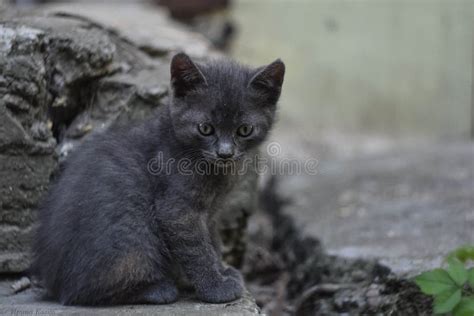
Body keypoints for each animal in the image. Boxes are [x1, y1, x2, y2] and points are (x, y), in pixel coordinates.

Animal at [34, 53, 286, 304]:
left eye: (244, 130)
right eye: (205, 128)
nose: (225, 153)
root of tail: (53, 282)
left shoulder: (211, 213)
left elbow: (212, 240)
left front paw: (222, 271)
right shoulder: (177, 209)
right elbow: (197, 250)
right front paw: (215, 287)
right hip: (133, 230)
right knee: (86, 290)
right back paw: (158, 289)